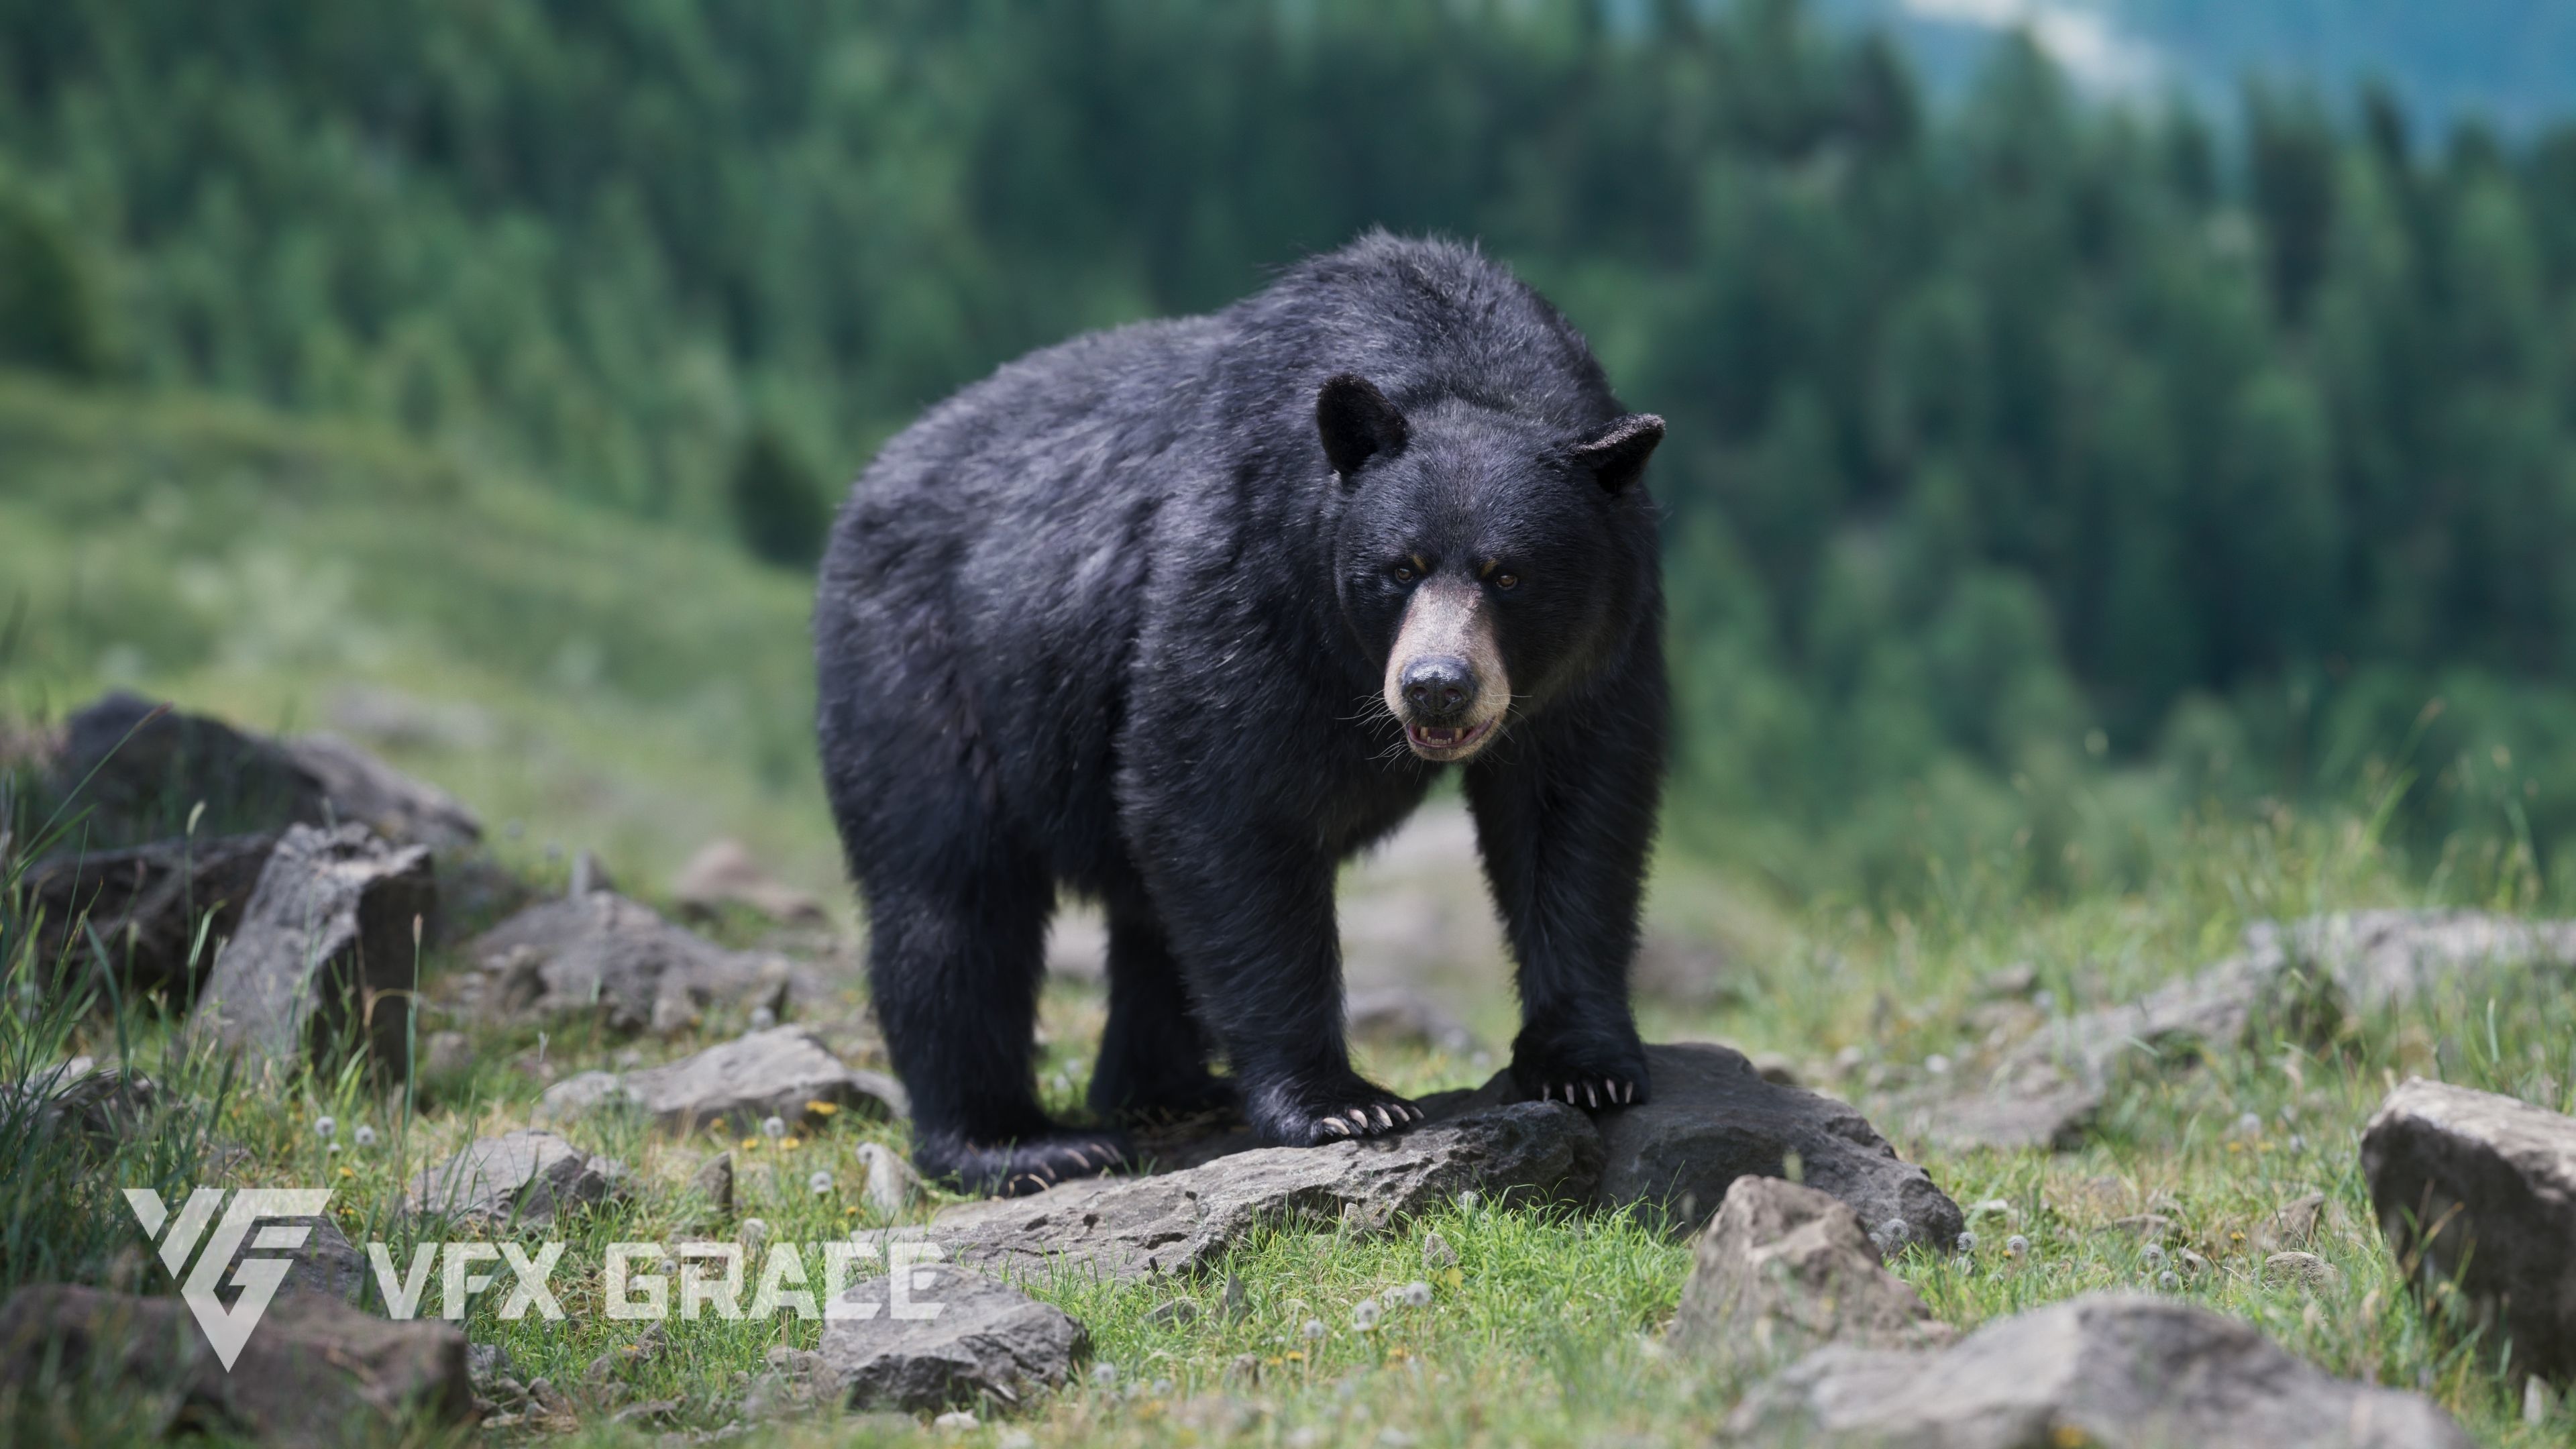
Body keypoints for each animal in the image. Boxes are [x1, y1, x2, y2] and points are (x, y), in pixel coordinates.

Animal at [815, 232, 1666, 1195]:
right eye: (1400, 567)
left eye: (1508, 574)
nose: (1437, 685)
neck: (1456, 359)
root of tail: (867, 485)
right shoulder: (1252, 571)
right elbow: (1219, 797)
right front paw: (1344, 1102)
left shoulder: (1609, 635)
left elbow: (1574, 815)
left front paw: (1588, 1066)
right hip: (926, 665)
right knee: (954, 893)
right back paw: (1018, 1141)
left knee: (1144, 915)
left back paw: (1170, 1092)